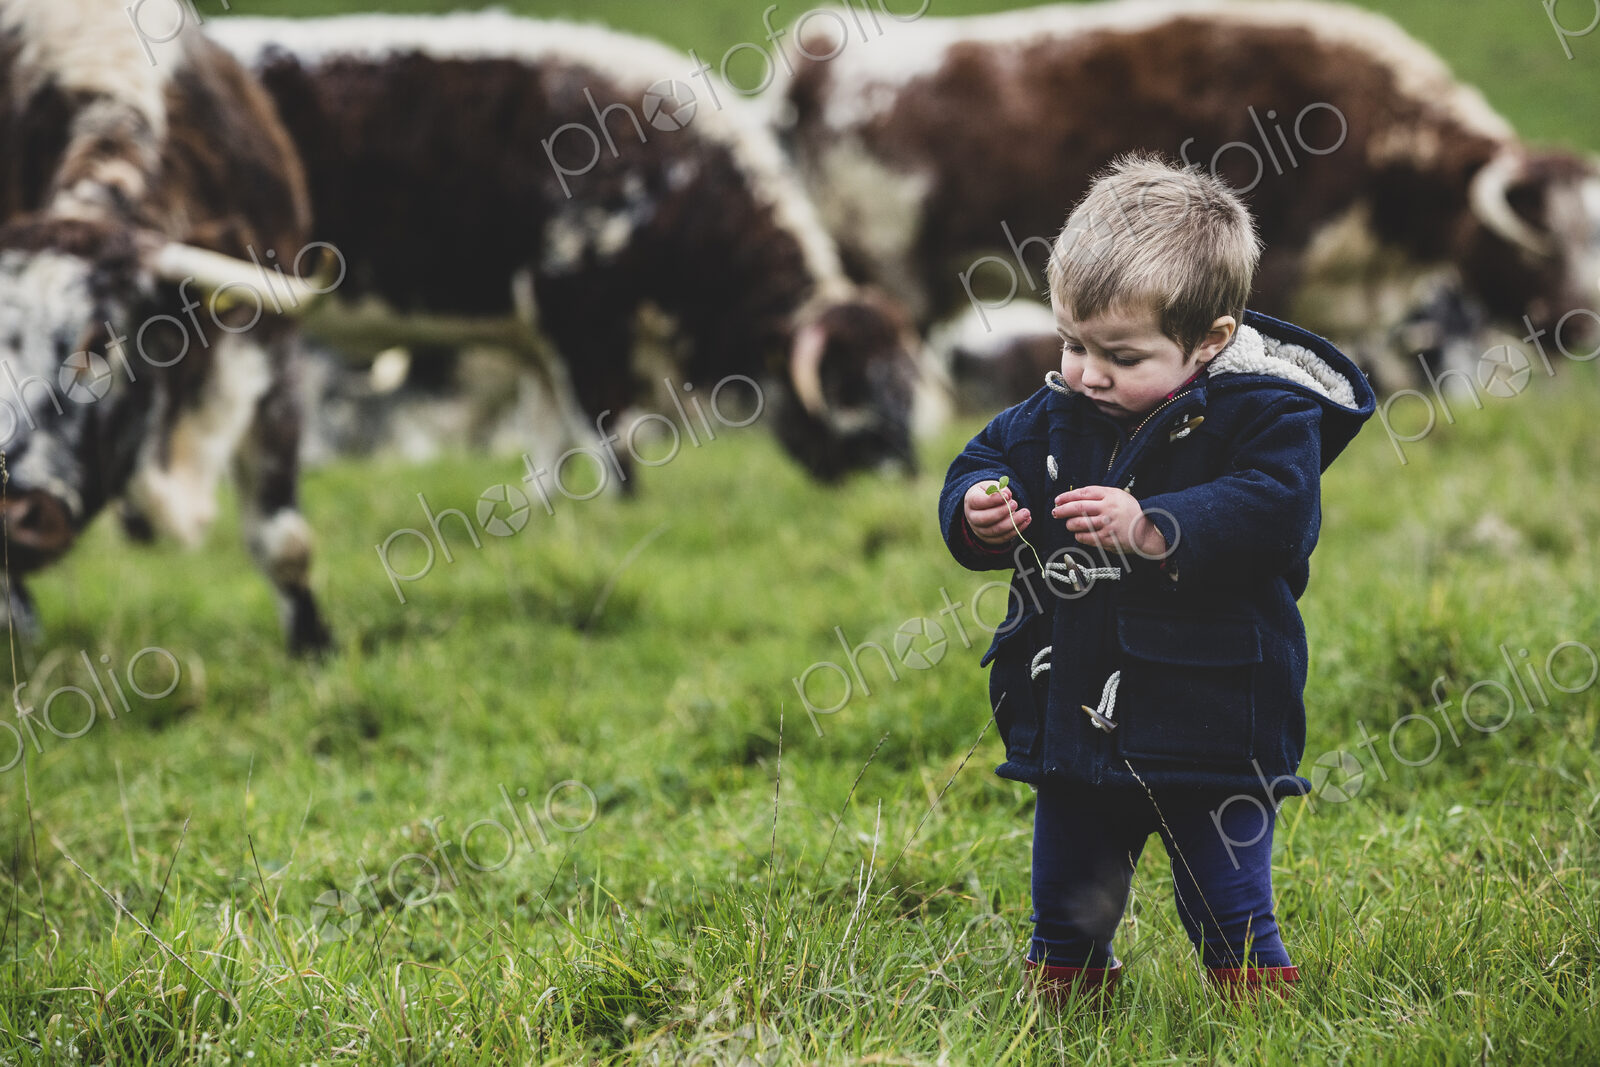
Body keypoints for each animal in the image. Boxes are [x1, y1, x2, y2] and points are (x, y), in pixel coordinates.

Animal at [211, 11, 938, 486]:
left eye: (908, 381)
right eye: (846, 384)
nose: (904, 470)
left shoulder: (540, 349)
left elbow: (548, 461)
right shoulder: (581, 319)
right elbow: (614, 450)